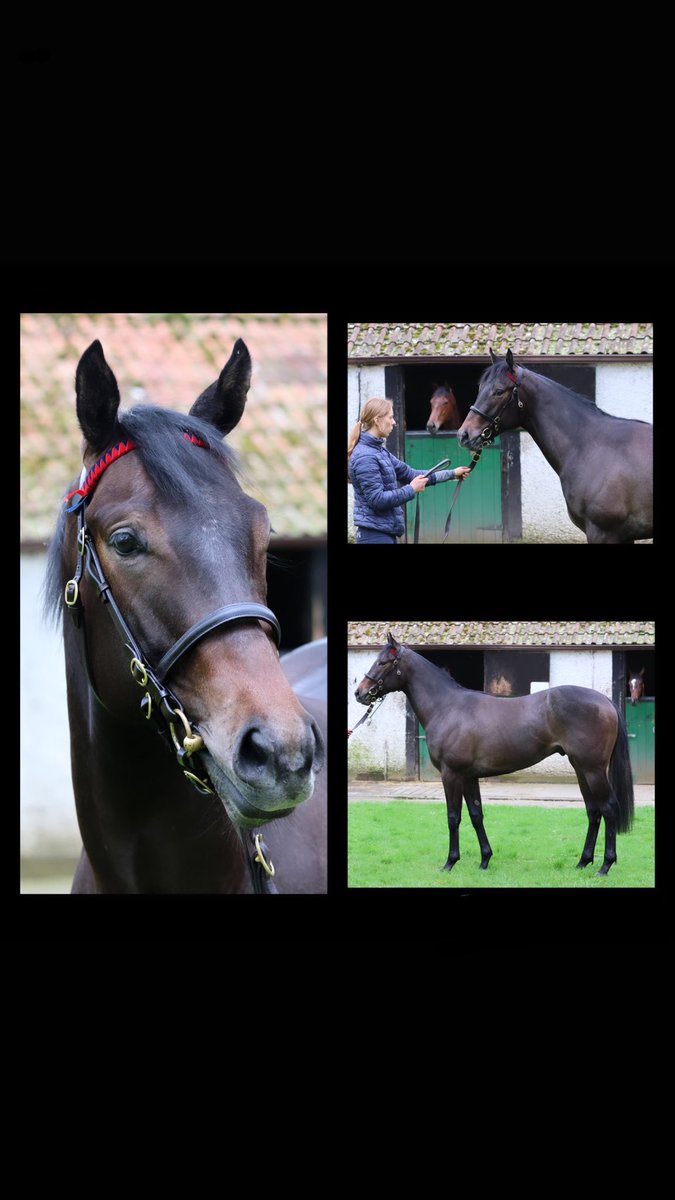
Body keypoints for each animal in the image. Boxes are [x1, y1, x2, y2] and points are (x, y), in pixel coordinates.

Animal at [355, 633, 634, 878]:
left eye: (383, 662)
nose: (360, 693)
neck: (447, 707)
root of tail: (606, 702)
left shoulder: (451, 774)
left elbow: (453, 817)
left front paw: (450, 863)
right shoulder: (468, 776)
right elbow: (476, 815)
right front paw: (485, 860)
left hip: (593, 770)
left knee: (609, 809)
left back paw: (605, 866)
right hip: (580, 769)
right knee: (593, 811)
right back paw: (583, 862)